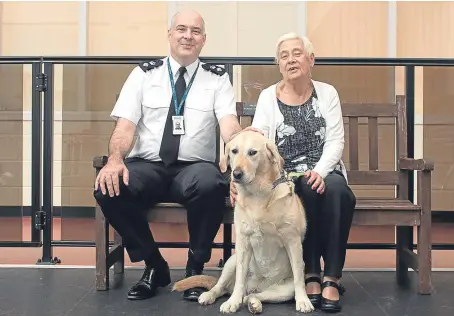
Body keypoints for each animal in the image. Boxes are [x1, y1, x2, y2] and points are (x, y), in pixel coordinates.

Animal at [172, 131, 314, 314]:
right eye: (234, 151)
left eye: (252, 152)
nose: (237, 173)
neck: (258, 194)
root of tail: (257, 286)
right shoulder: (243, 242)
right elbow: (240, 277)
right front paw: (232, 302)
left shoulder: (293, 241)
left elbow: (298, 276)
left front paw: (303, 300)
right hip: (231, 262)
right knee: (222, 287)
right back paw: (212, 296)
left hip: (283, 291)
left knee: (252, 296)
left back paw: (254, 303)